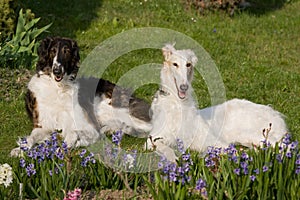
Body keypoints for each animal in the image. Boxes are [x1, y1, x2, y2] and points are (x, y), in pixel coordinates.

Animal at [10, 37, 151, 156]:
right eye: (52, 51)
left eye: (66, 51)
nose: (57, 71)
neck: (59, 88)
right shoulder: (42, 125)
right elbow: (31, 137)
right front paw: (20, 149)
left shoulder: (87, 125)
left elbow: (73, 133)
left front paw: (63, 148)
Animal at [146, 44, 288, 161]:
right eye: (175, 64)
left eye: (188, 64)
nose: (184, 87)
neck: (177, 104)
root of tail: (274, 113)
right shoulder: (153, 139)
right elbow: (165, 149)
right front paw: (173, 161)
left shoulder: (209, 139)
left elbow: (231, 151)